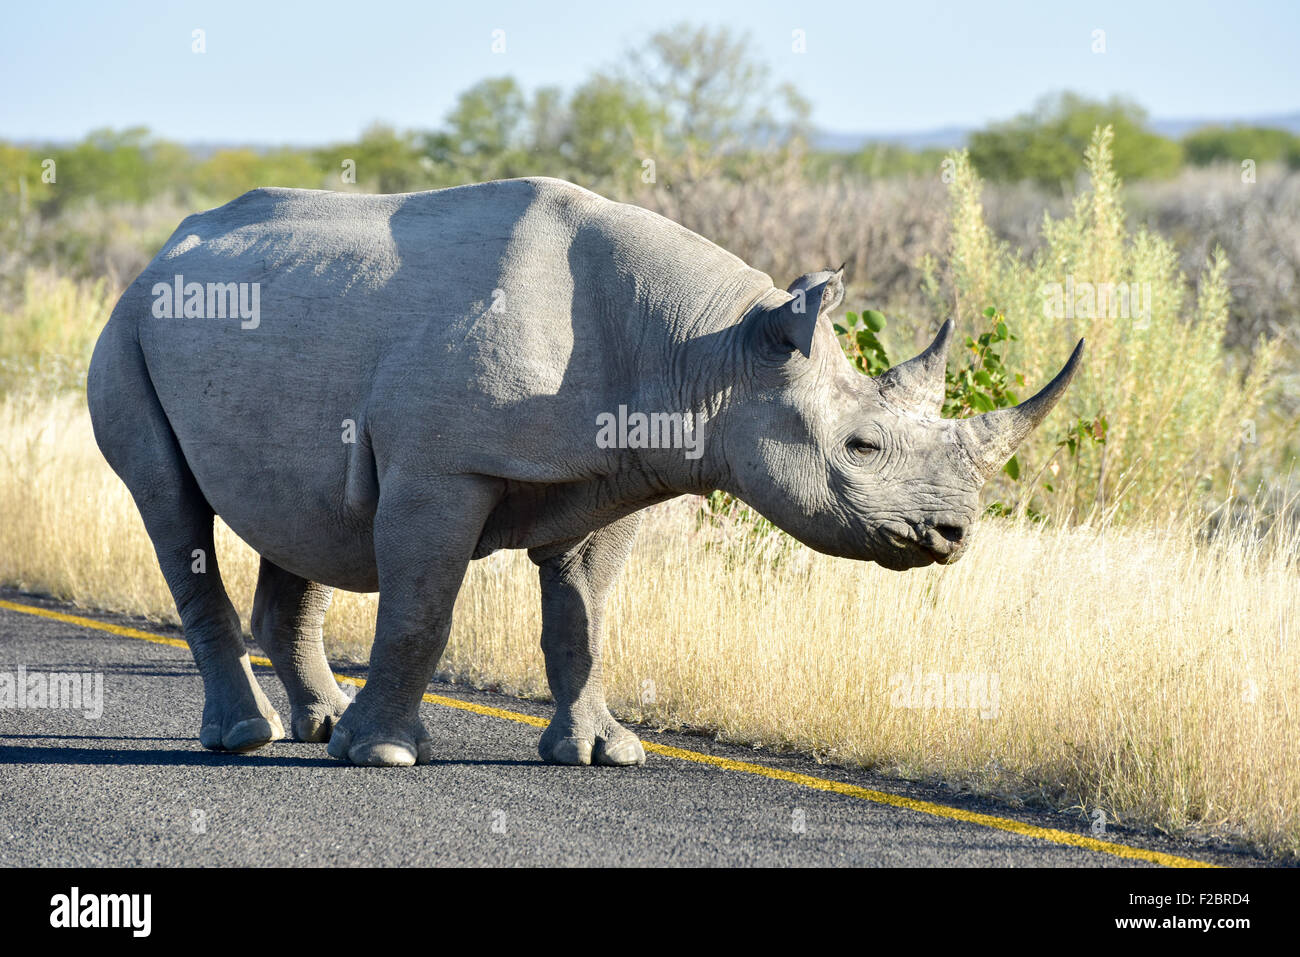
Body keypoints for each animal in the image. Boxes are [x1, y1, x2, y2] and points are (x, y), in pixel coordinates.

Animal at [87, 177, 1081, 767]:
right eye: (863, 448)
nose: (954, 534)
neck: (712, 347)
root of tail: (162, 251)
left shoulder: (616, 474)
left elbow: (586, 617)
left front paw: (602, 753)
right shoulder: (439, 468)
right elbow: (422, 608)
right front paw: (387, 757)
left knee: (301, 521)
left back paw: (320, 726)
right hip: (127, 328)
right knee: (174, 510)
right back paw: (247, 739)